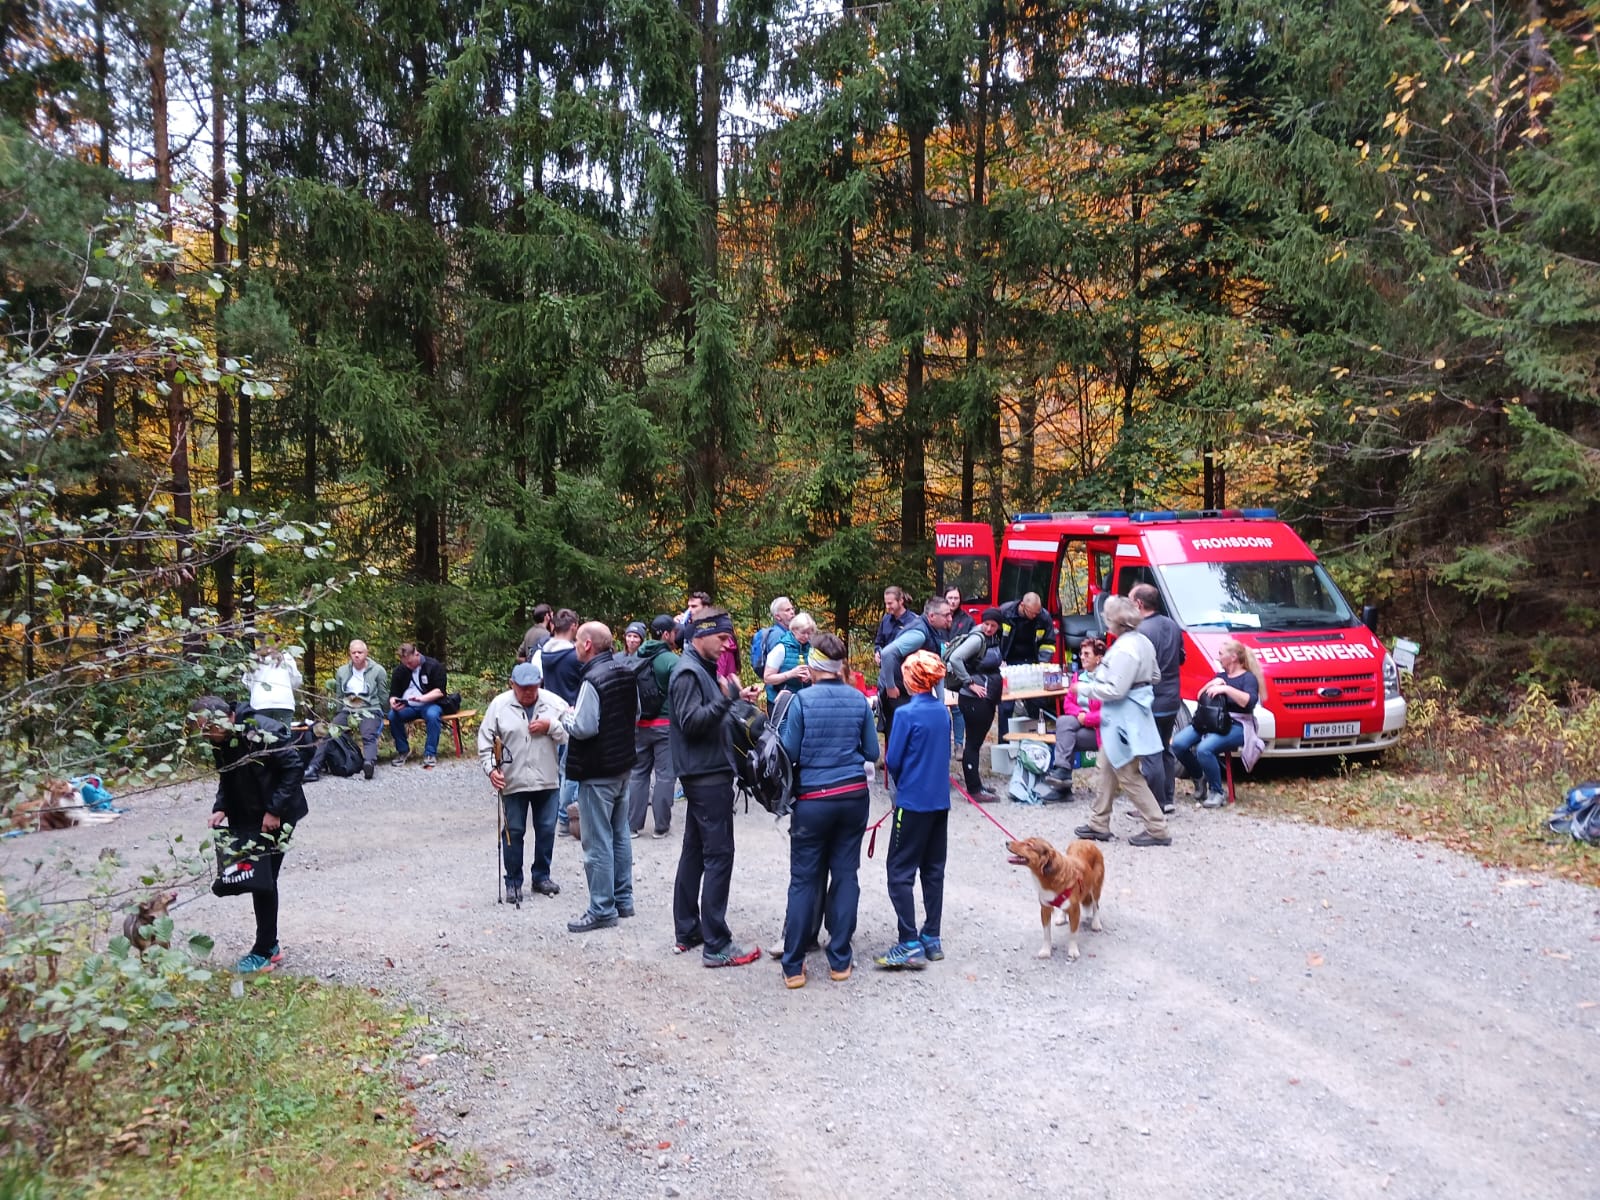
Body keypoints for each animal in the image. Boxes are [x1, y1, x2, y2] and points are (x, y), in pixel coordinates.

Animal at [1004, 838, 1107, 966]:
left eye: (1029, 844)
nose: (1006, 842)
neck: (1049, 878)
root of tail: (1086, 841)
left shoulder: (1075, 911)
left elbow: (1073, 934)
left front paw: (1073, 951)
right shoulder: (1045, 909)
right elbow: (1046, 934)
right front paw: (1046, 951)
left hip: (1095, 888)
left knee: (1096, 905)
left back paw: (1096, 923)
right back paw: (1062, 917)